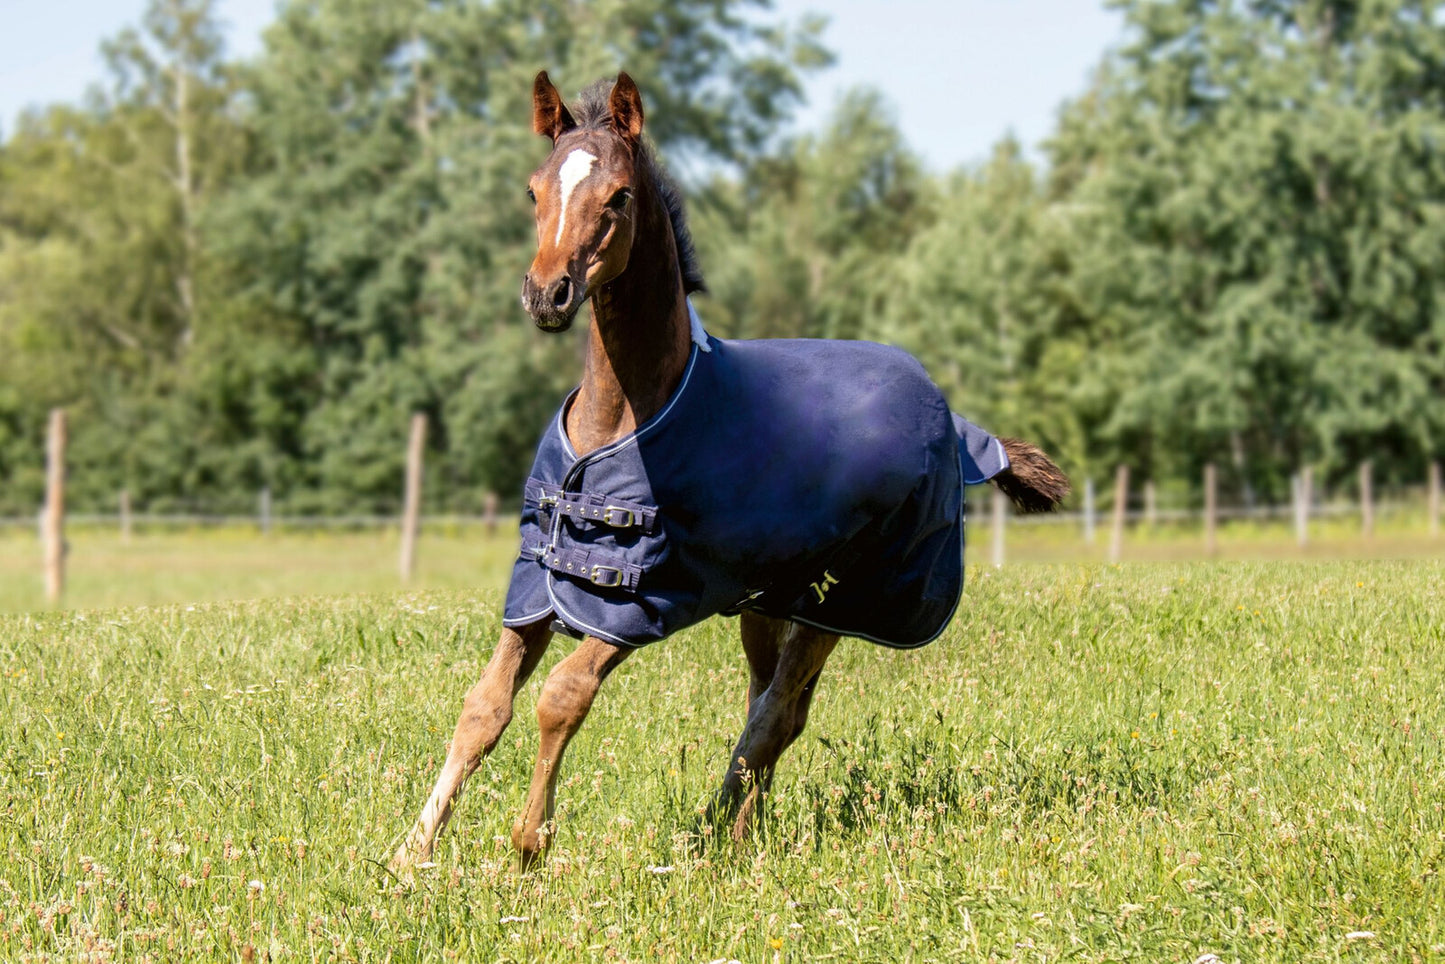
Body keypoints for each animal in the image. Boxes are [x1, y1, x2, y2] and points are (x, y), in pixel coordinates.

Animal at [392, 71, 1068, 872]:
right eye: (534, 190)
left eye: (618, 195)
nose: (546, 295)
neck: (620, 422)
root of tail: (952, 418)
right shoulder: (537, 588)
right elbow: (482, 708)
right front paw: (409, 855)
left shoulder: (642, 599)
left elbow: (562, 696)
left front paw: (528, 847)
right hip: (767, 601)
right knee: (775, 704)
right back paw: (745, 830)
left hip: (838, 602)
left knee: (774, 714)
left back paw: (714, 834)